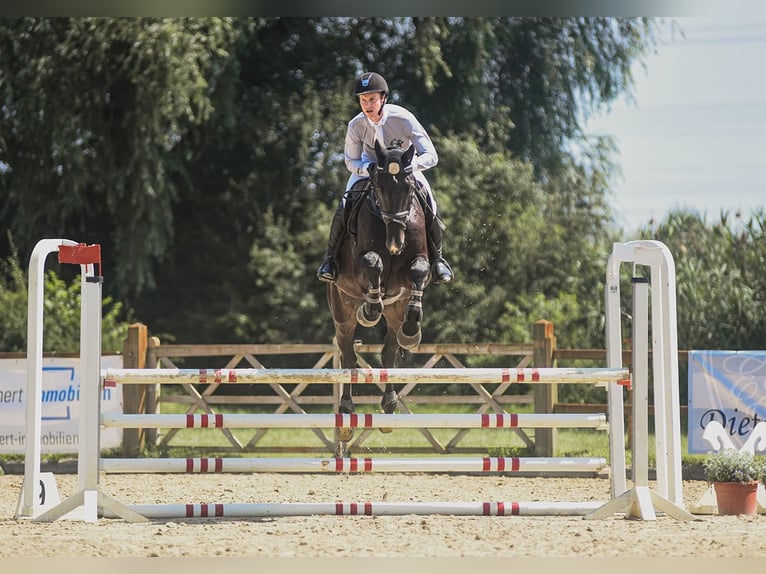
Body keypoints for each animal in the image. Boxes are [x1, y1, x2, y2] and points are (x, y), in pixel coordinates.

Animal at [326, 141, 432, 446]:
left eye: (408, 186)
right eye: (378, 186)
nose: (395, 243)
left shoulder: (417, 266)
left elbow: (419, 271)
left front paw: (412, 332)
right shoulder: (362, 266)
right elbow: (373, 263)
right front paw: (369, 311)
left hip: (394, 314)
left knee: (389, 353)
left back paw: (389, 405)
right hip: (341, 312)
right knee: (348, 356)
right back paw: (346, 412)